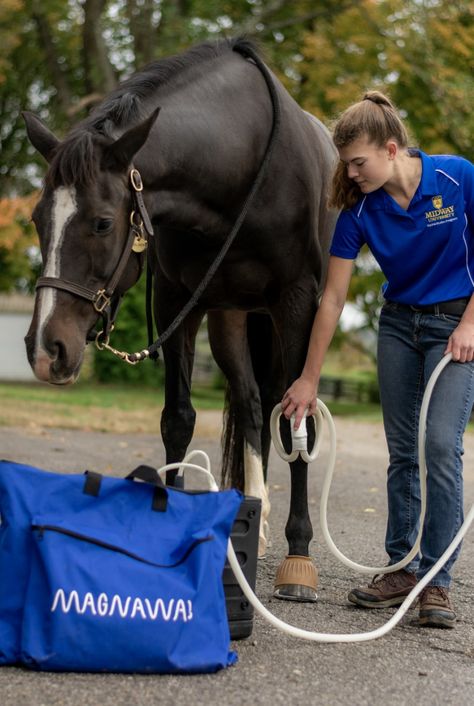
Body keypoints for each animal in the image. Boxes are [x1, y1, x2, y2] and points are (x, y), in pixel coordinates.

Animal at [22, 38, 336, 600]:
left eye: (102, 223)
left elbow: (295, 420)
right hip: (229, 317)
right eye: (38, 219)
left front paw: (299, 556)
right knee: (251, 402)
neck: (241, 165)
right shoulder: (176, 303)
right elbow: (179, 419)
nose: (45, 348)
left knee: (275, 405)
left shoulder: (298, 303)